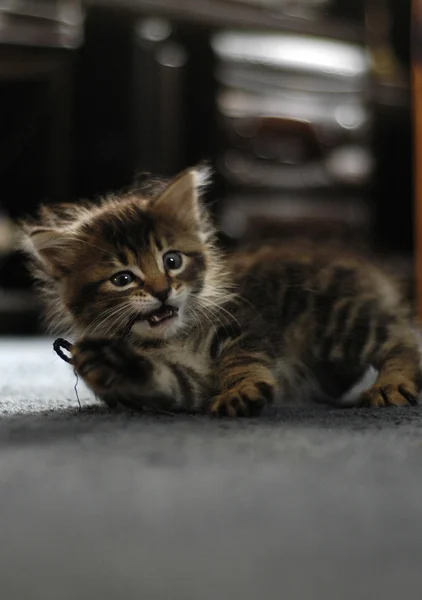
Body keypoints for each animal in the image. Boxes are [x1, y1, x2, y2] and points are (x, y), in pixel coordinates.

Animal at [21, 166, 422, 414]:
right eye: (122, 279)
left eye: (171, 260)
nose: (162, 292)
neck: (172, 338)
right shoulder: (189, 384)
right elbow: (167, 382)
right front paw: (115, 366)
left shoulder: (245, 325)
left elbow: (241, 361)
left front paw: (240, 391)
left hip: (336, 317)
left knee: (403, 341)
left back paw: (391, 385)